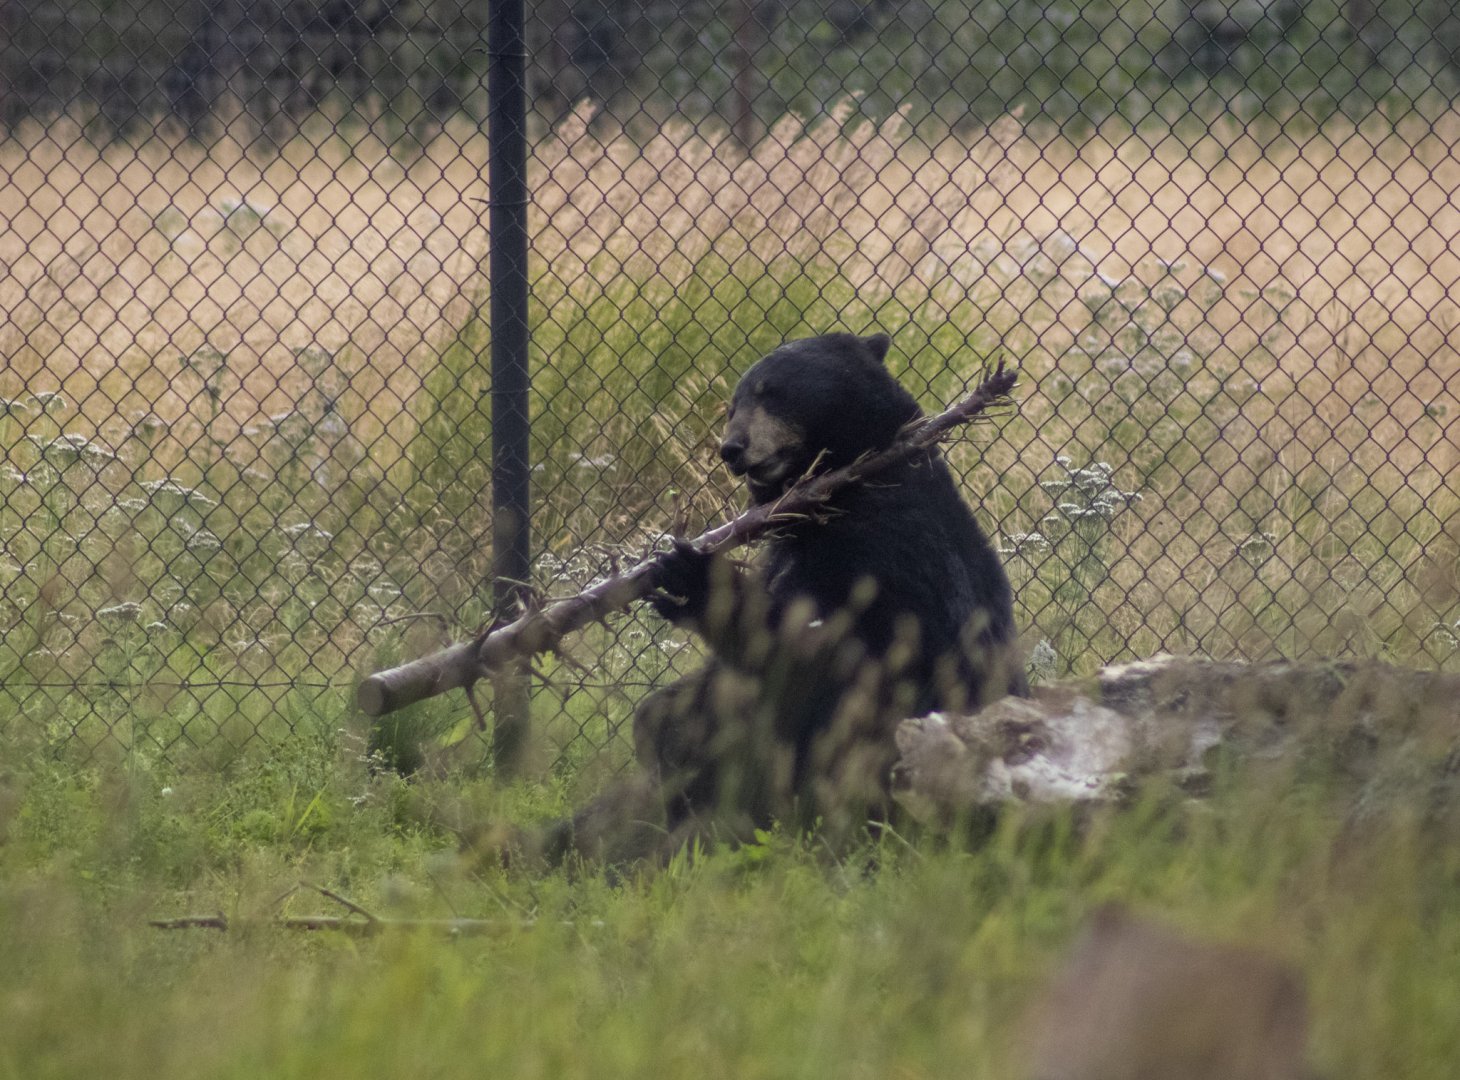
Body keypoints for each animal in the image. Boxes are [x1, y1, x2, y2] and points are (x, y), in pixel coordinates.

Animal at [531, 331, 1025, 865]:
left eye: (773, 392)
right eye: (733, 404)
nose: (732, 448)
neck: (845, 491)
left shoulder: (890, 559)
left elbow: (819, 664)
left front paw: (696, 576)